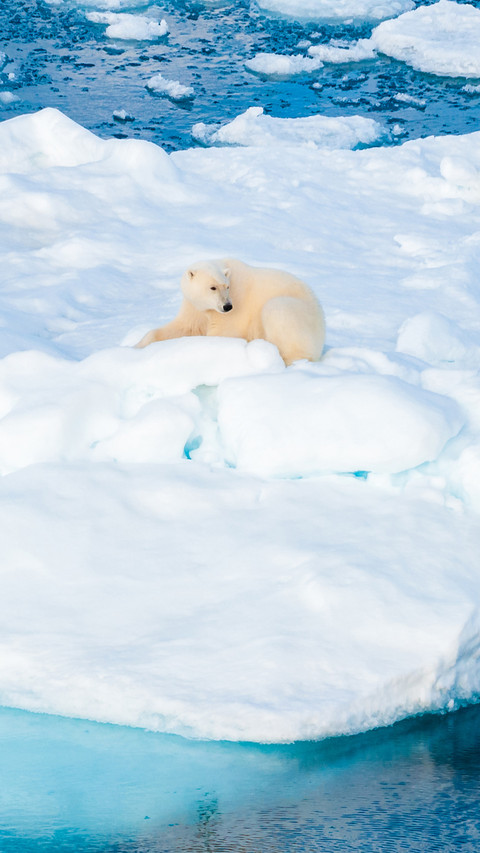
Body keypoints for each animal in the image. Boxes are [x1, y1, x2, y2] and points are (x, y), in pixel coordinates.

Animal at [135, 258, 325, 365]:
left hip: (297, 313)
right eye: (212, 287)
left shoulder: (235, 306)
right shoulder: (195, 307)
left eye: (226, 286)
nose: (228, 306)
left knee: (277, 311)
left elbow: (222, 333)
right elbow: (184, 327)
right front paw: (137, 346)